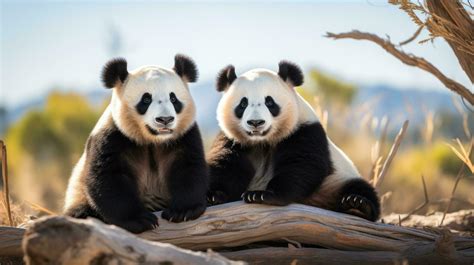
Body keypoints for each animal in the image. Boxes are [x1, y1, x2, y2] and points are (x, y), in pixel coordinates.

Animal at [64, 53, 208, 231]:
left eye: (173, 98)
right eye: (146, 100)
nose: (165, 119)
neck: (153, 140)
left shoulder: (184, 135)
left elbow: (188, 167)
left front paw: (183, 211)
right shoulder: (112, 135)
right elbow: (108, 177)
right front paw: (140, 219)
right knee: (80, 211)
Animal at [207, 60, 382, 221]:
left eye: (269, 102)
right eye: (243, 104)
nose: (256, 122)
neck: (263, 142)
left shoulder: (304, 130)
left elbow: (302, 165)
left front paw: (263, 195)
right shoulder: (232, 139)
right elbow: (227, 165)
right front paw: (213, 196)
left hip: (334, 181)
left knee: (359, 187)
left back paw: (357, 205)